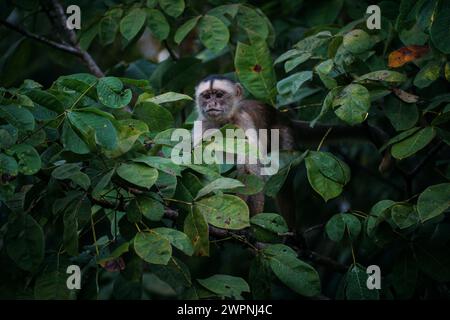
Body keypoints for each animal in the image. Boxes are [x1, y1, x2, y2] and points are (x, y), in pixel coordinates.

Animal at [195, 75, 388, 230]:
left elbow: (251, 173)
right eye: (206, 96)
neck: (224, 122)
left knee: (281, 178)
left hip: (284, 133)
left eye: (219, 95)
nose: (211, 104)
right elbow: (202, 168)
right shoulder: (202, 125)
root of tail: (285, 118)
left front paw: (248, 224)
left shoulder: (243, 122)